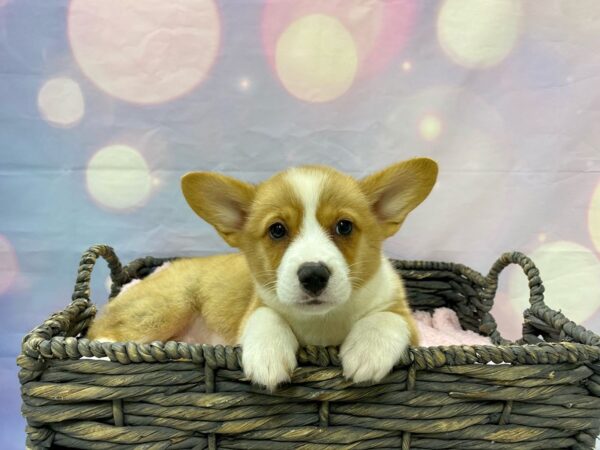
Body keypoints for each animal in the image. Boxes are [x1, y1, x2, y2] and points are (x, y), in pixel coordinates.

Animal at [86, 158, 436, 390]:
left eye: (344, 226)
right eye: (277, 230)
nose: (313, 275)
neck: (322, 322)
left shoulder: (405, 319)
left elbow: (386, 319)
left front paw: (366, 352)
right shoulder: (256, 308)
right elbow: (266, 317)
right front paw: (268, 358)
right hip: (165, 310)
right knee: (101, 337)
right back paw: (97, 357)